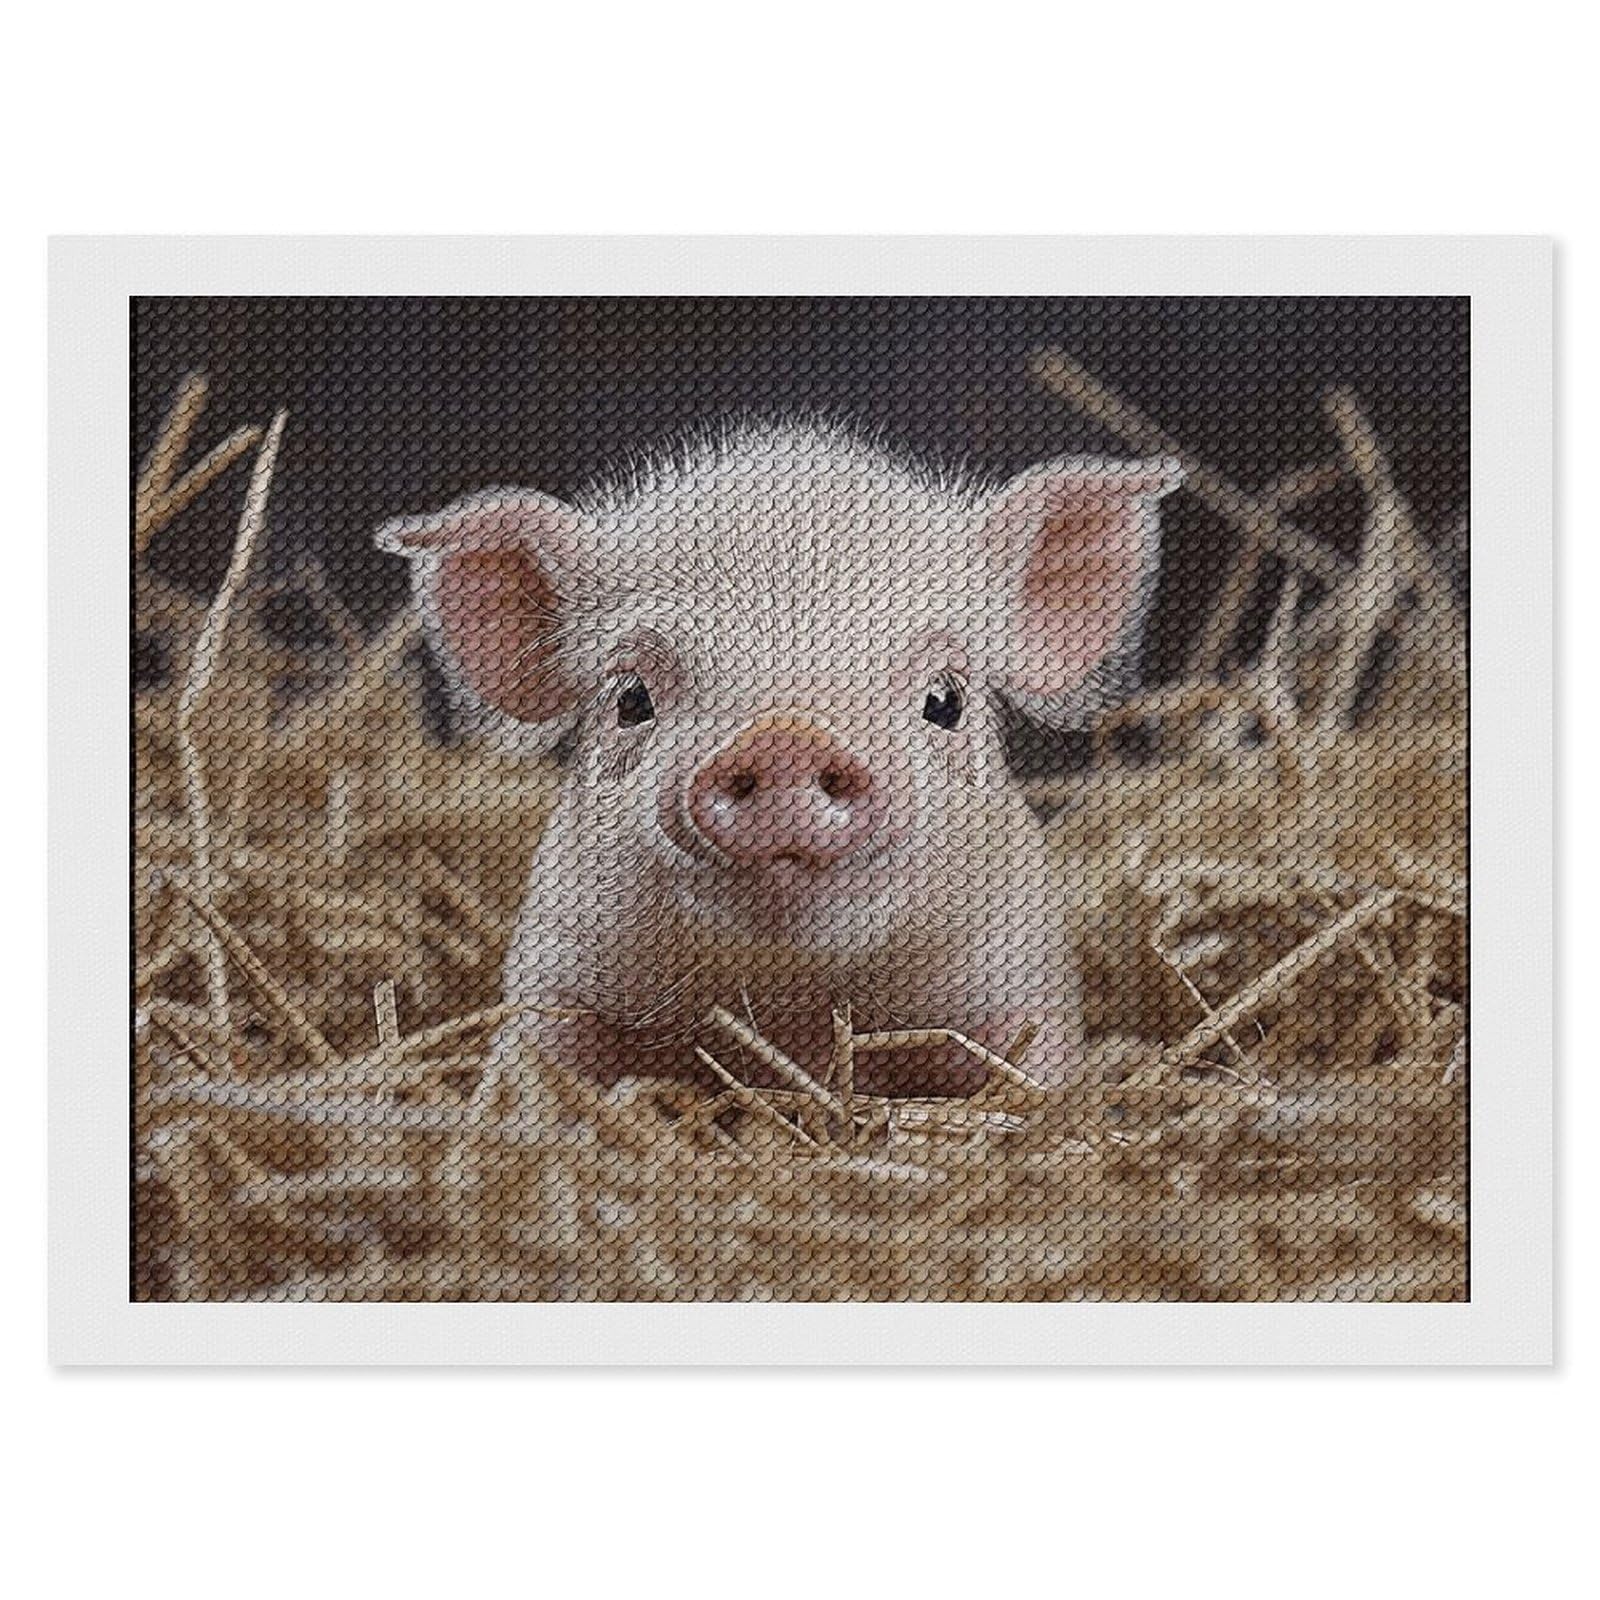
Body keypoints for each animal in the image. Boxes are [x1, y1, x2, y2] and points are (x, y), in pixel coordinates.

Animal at [378, 420, 1182, 1096]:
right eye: (631, 697)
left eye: (946, 699)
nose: (786, 738)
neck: (790, 1012)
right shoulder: (557, 969)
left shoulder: (1022, 977)